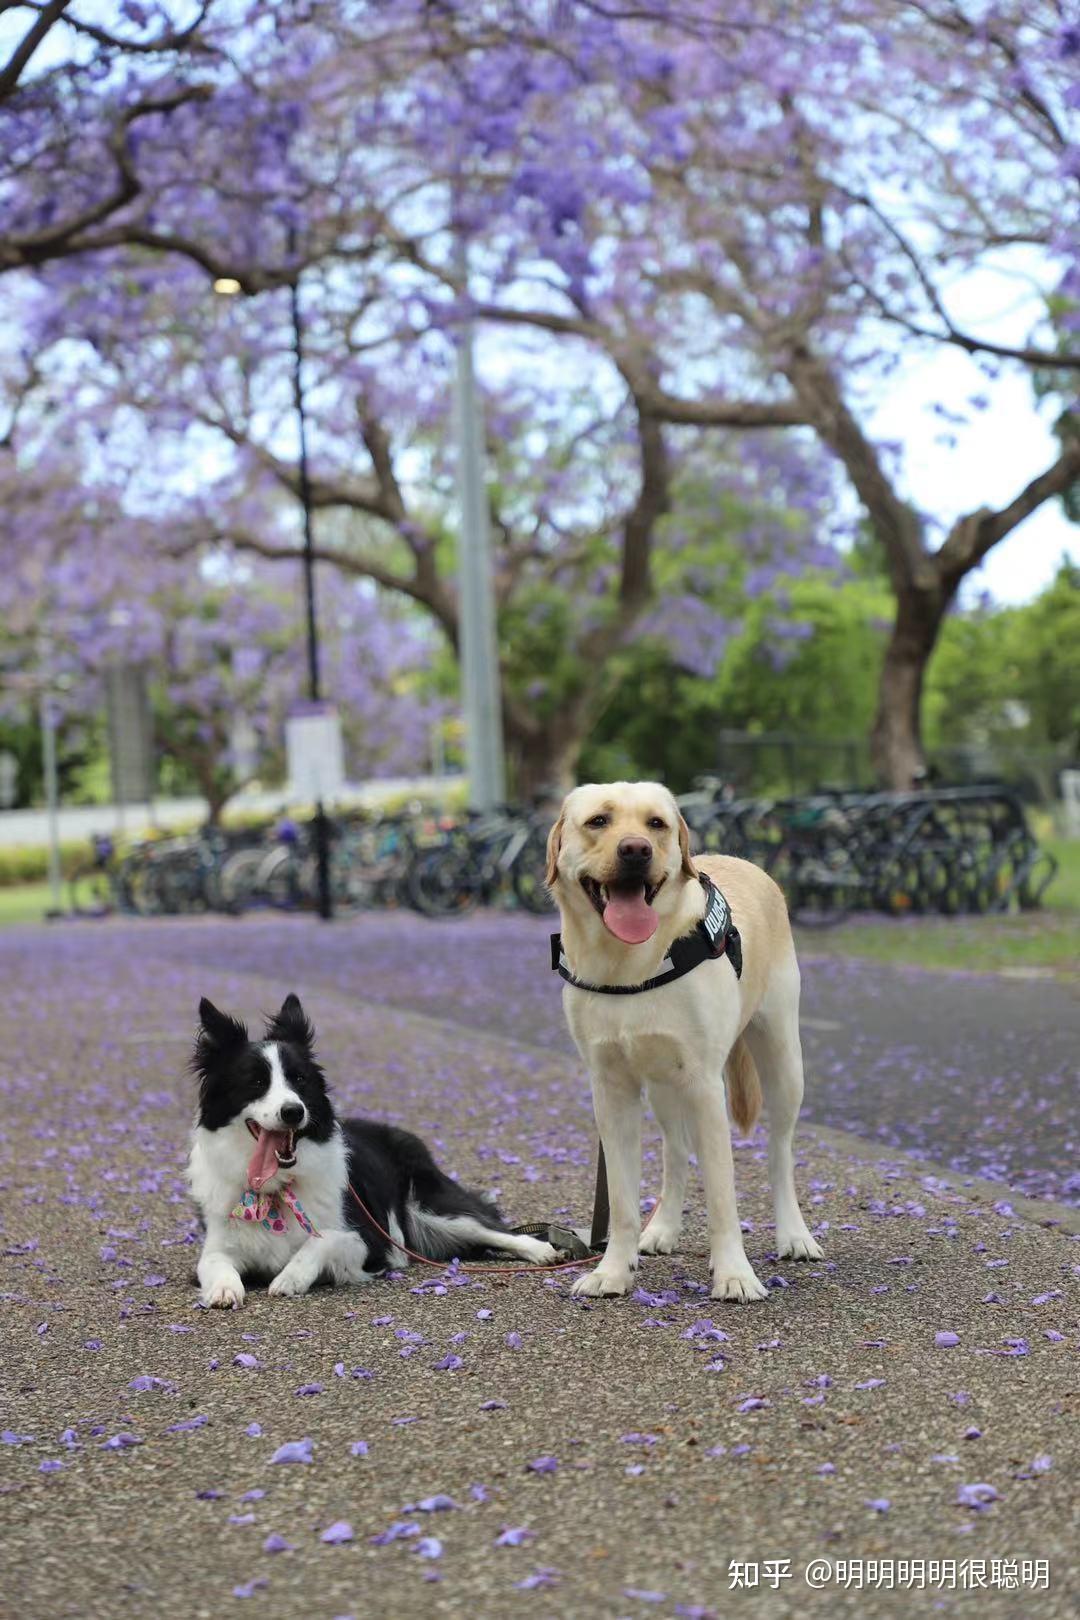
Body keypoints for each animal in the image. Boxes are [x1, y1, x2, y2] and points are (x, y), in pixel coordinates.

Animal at [550, 777, 819, 1296]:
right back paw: (663, 1227)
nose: (636, 850)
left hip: (783, 1060)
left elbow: (722, 1197)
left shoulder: (705, 1085)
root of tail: (743, 861)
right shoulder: (611, 1090)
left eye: (656, 823)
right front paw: (613, 1270)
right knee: (676, 1151)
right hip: (661, 1087)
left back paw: (794, 1235)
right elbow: (623, 1201)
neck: (628, 966)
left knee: (780, 1152)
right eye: (598, 821)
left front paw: (734, 1275)